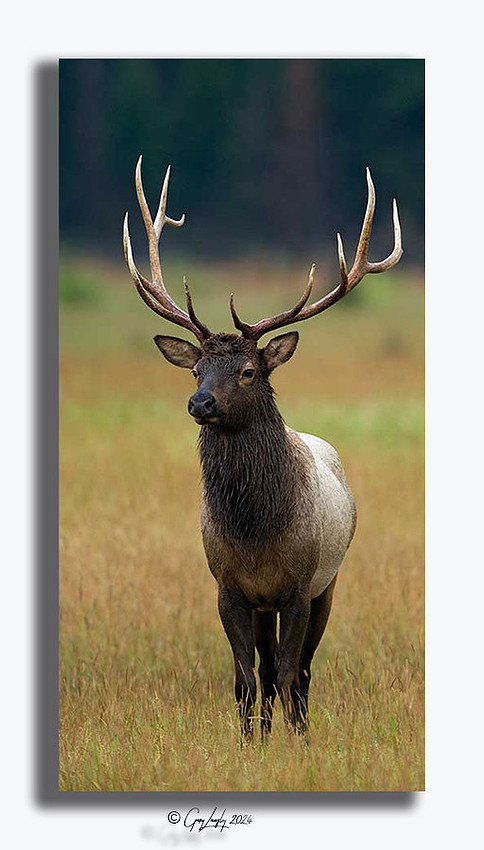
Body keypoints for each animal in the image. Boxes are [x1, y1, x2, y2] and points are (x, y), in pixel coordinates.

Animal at [123, 157, 402, 740]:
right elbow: (245, 677)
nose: (199, 401)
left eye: (249, 370)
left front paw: (292, 742)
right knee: (269, 667)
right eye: (198, 368)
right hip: (265, 604)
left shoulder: (298, 585)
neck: (256, 535)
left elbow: (292, 669)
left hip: (329, 582)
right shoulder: (229, 586)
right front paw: (251, 740)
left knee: (302, 670)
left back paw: (299, 727)